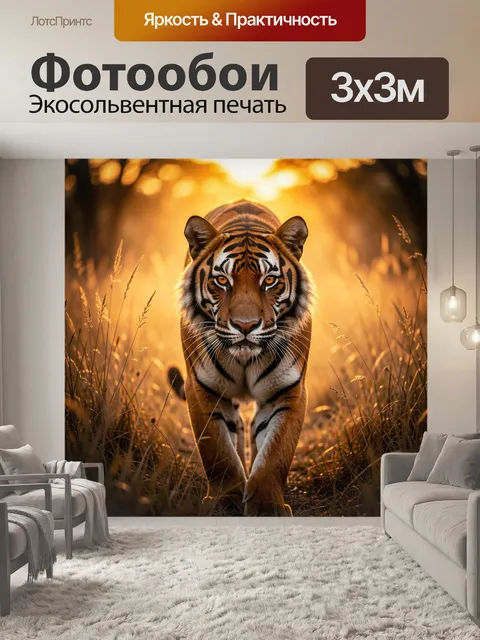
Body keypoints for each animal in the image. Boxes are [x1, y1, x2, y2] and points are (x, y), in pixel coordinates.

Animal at [168, 200, 313, 516]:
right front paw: (225, 500)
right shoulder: (203, 388)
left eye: (269, 280)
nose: (245, 326)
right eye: (222, 280)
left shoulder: (288, 390)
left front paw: (267, 505)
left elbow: (276, 452)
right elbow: (218, 451)